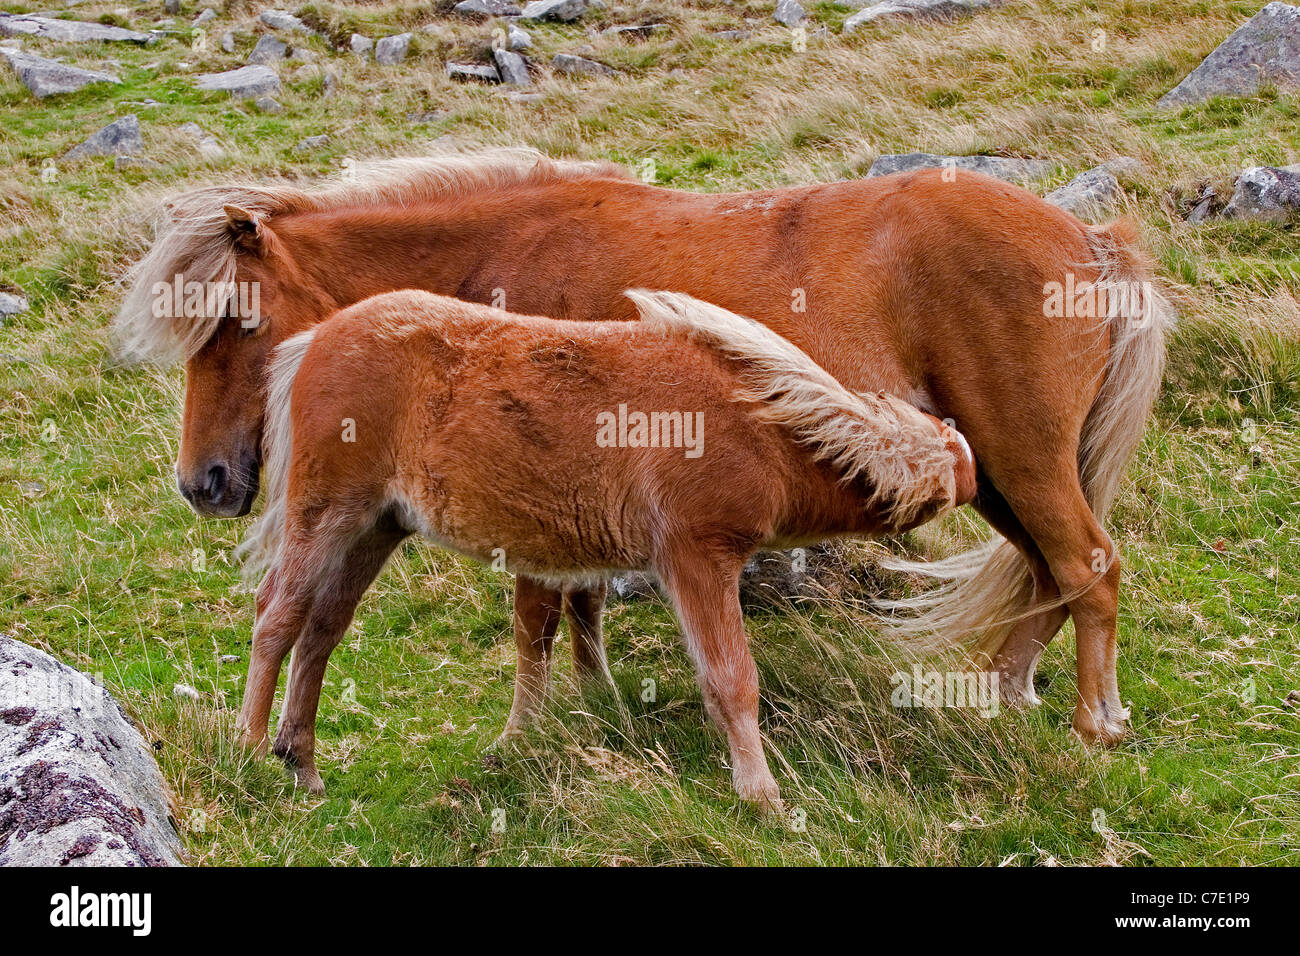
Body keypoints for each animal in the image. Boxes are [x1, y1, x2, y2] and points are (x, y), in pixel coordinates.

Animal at [109, 147, 1170, 749]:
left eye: (239, 324)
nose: (204, 484)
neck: (504, 260)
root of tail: (1091, 242)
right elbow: (579, 603)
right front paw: (597, 698)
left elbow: (537, 613)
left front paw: (533, 729)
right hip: (996, 477)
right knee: (1051, 575)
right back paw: (1000, 698)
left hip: (1023, 463)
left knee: (1088, 567)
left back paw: (1093, 725)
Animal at [236, 287, 977, 806]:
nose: (980, 481)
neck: (761, 424)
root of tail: (316, 338)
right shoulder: (697, 559)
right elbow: (731, 679)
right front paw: (762, 795)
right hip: (326, 515)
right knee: (277, 616)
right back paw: (247, 754)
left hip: (376, 528)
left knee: (322, 627)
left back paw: (301, 762)